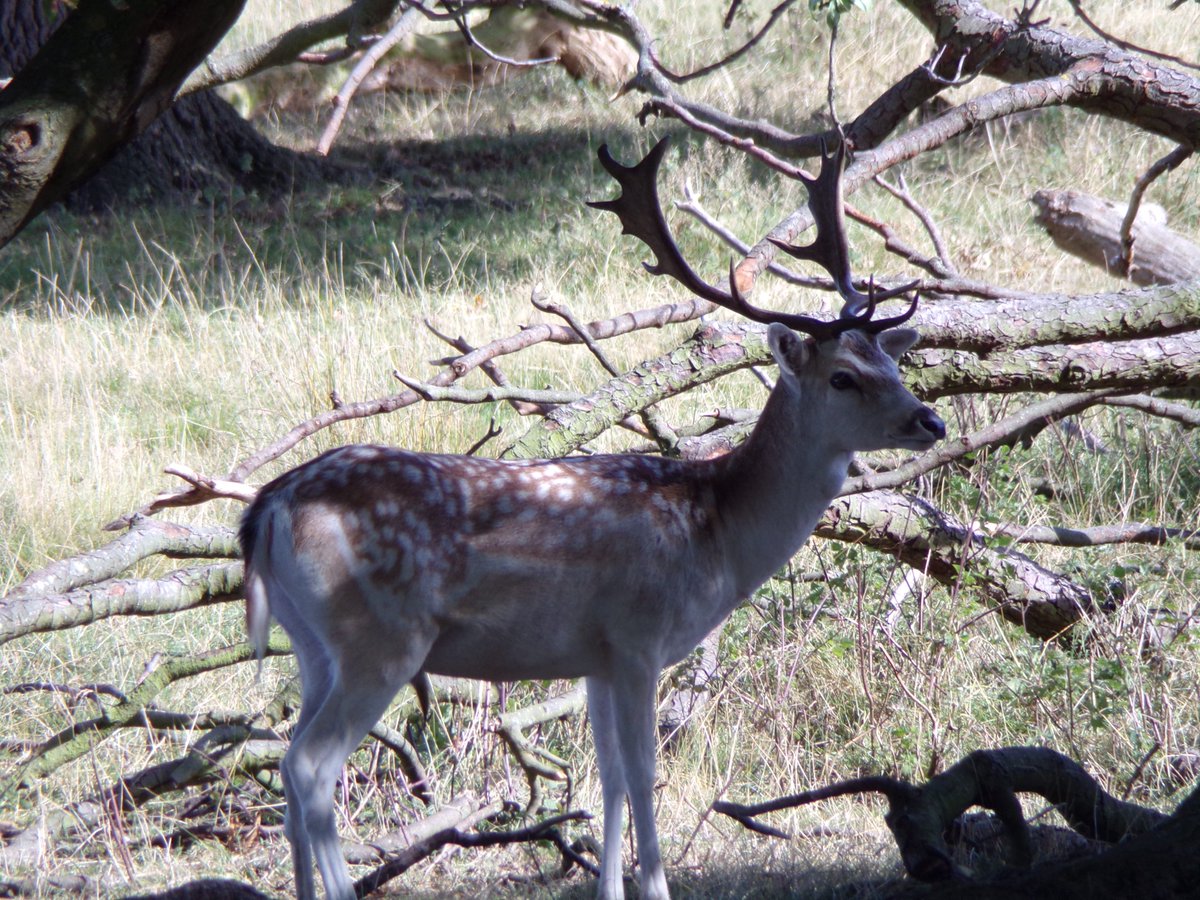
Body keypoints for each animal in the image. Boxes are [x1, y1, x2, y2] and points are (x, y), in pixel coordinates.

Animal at [238, 136, 945, 900]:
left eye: (892, 364)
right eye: (844, 376)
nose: (930, 420)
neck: (719, 531)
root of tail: (267, 509)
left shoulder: (595, 658)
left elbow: (607, 781)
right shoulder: (638, 635)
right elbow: (642, 774)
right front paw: (656, 883)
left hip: (312, 644)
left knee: (288, 766)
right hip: (383, 637)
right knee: (311, 768)